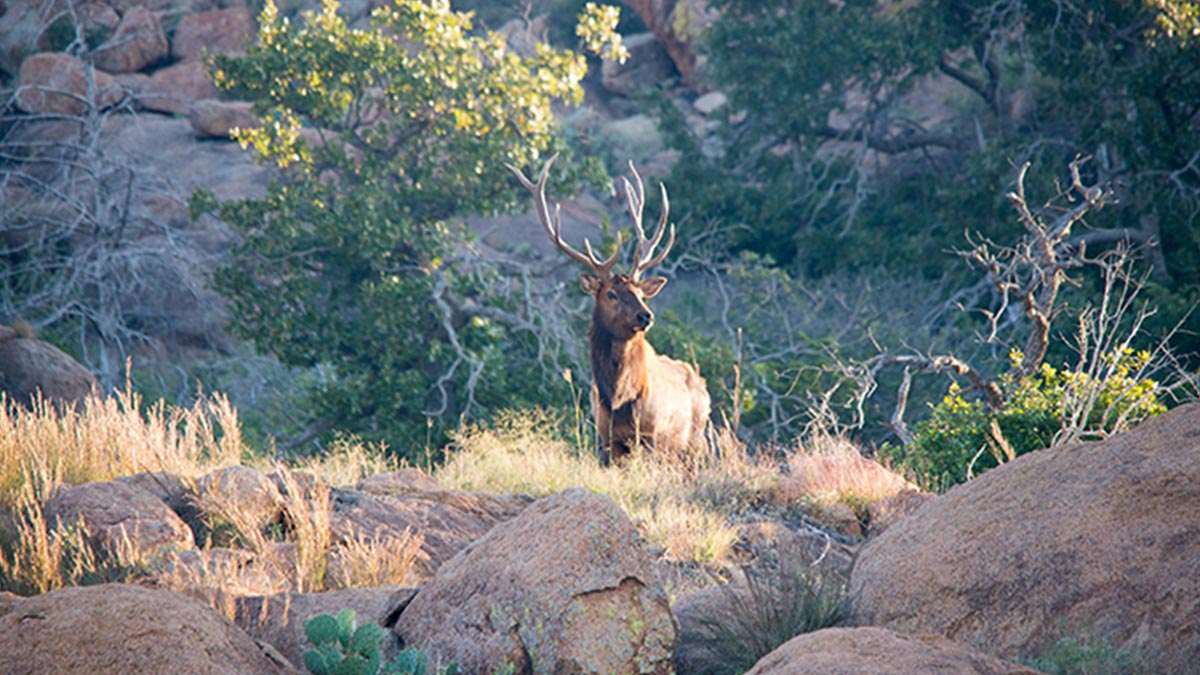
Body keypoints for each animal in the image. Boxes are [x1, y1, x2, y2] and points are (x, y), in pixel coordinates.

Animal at [507, 156, 712, 465]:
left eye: (640, 293)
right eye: (611, 294)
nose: (646, 315)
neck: (617, 399)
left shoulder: (651, 435)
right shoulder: (606, 438)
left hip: (693, 443)